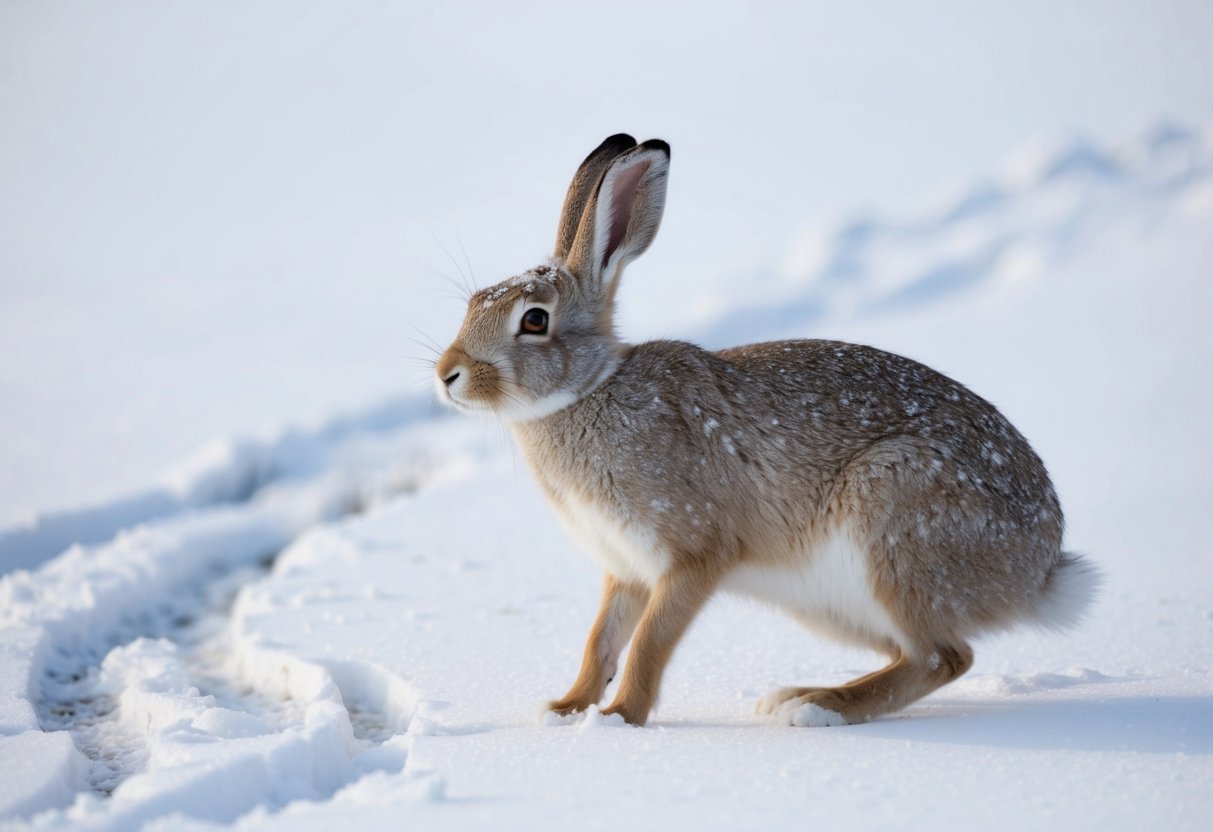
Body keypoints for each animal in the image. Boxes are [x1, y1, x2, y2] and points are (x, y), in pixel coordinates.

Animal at [434, 133, 1099, 727]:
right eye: (473, 303)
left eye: (534, 320)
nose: (448, 375)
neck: (589, 391)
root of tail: (1039, 568)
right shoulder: (625, 569)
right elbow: (600, 640)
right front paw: (566, 710)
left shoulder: (695, 554)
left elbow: (649, 642)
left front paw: (621, 719)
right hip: (833, 604)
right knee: (914, 654)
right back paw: (803, 694)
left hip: (894, 519)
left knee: (944, 657)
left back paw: (819, 710)